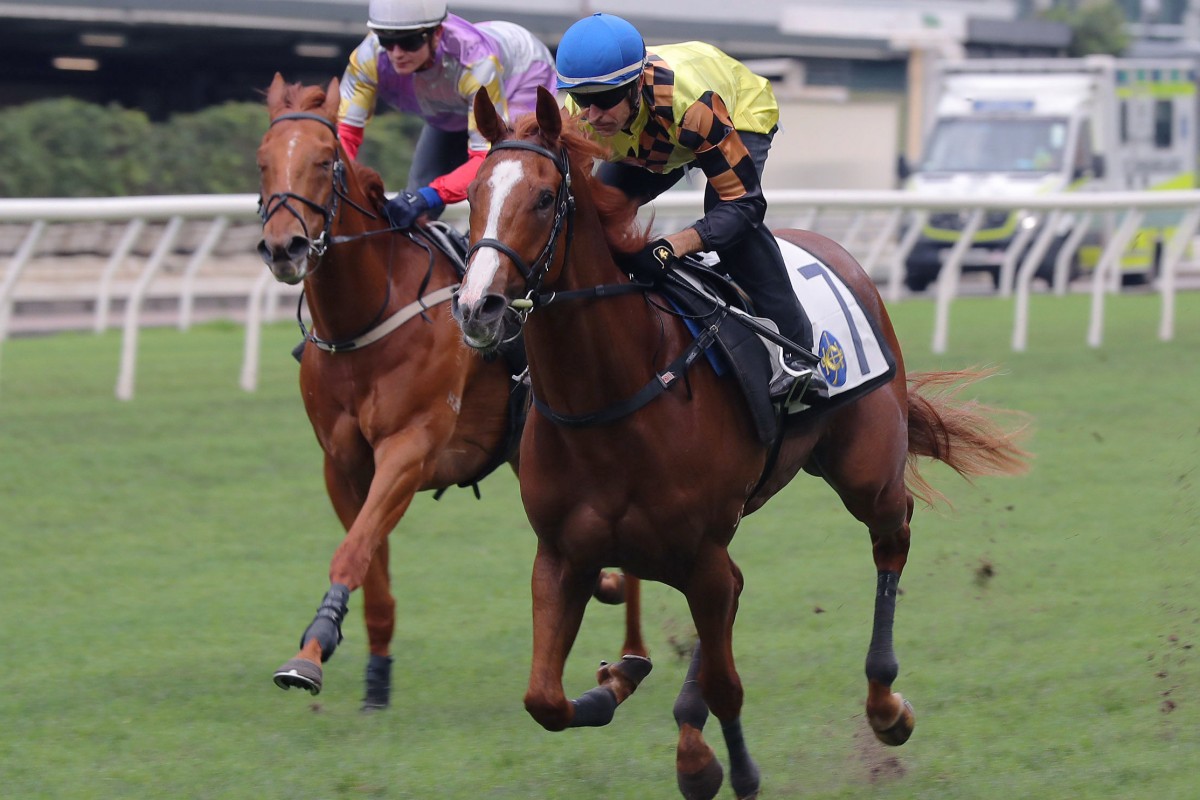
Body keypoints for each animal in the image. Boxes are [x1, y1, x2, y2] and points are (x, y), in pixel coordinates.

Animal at [255, 76, 648, 705]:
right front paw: (364, 672)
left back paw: (630, 653)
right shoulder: (342, 464)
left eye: (323, 160)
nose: (283, 247)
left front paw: (308, 653)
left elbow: (354, 550)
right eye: (262, 162)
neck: (364, 321)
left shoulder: (409, 449)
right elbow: (372, 564)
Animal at [453, 84, 1027, 796]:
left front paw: (728, 767)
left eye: (540, 197)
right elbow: (545, 700)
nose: (478, 307)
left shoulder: (697, 549)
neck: (612, 396)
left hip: (864, 469)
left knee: (892, 536)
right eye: (474, 193)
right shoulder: (563, 555)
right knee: (739, 585)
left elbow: (728, 684)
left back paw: (885, 704)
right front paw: (617, 685)